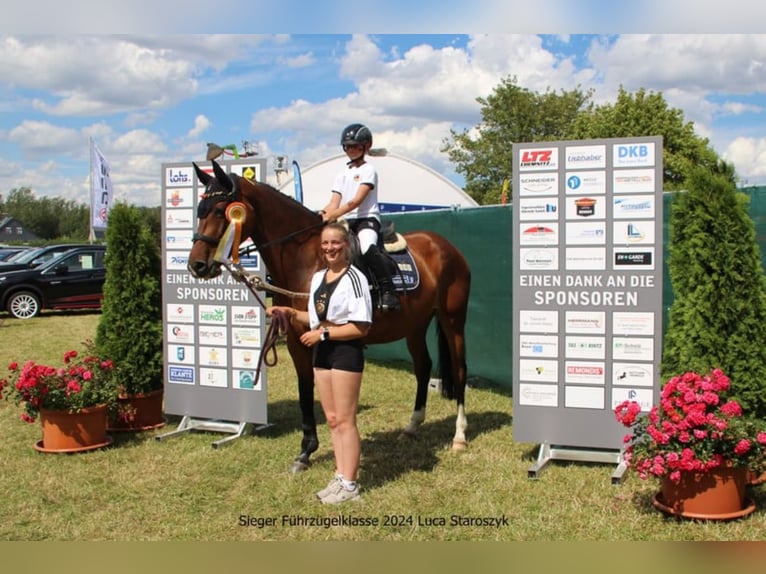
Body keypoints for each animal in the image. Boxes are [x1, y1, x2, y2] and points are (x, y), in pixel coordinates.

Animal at [189, 160, 472, 474]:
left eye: (219, 210)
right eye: (200, 210)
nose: (197, 265)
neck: (307, 259)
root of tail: (445, 246)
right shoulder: (297, 341)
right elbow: (305, 390)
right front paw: (305, 452)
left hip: (453, 320)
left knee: (459, 369)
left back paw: (459, 436)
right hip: (415, 325)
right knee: (423, 367)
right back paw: (411, 428)